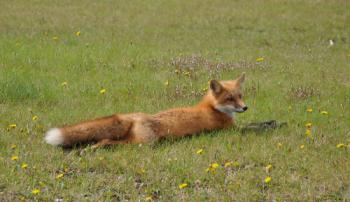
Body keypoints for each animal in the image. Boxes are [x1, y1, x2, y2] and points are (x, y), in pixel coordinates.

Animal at [45, 73, 247, 148]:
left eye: (240, 96)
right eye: (230, 99)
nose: (245, 107)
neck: (213, 108)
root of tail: (134, 116)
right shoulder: (231, 129)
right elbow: (251, 127)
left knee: (105, 140)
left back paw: (90, 149)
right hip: (144, 143)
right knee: (111, 142)